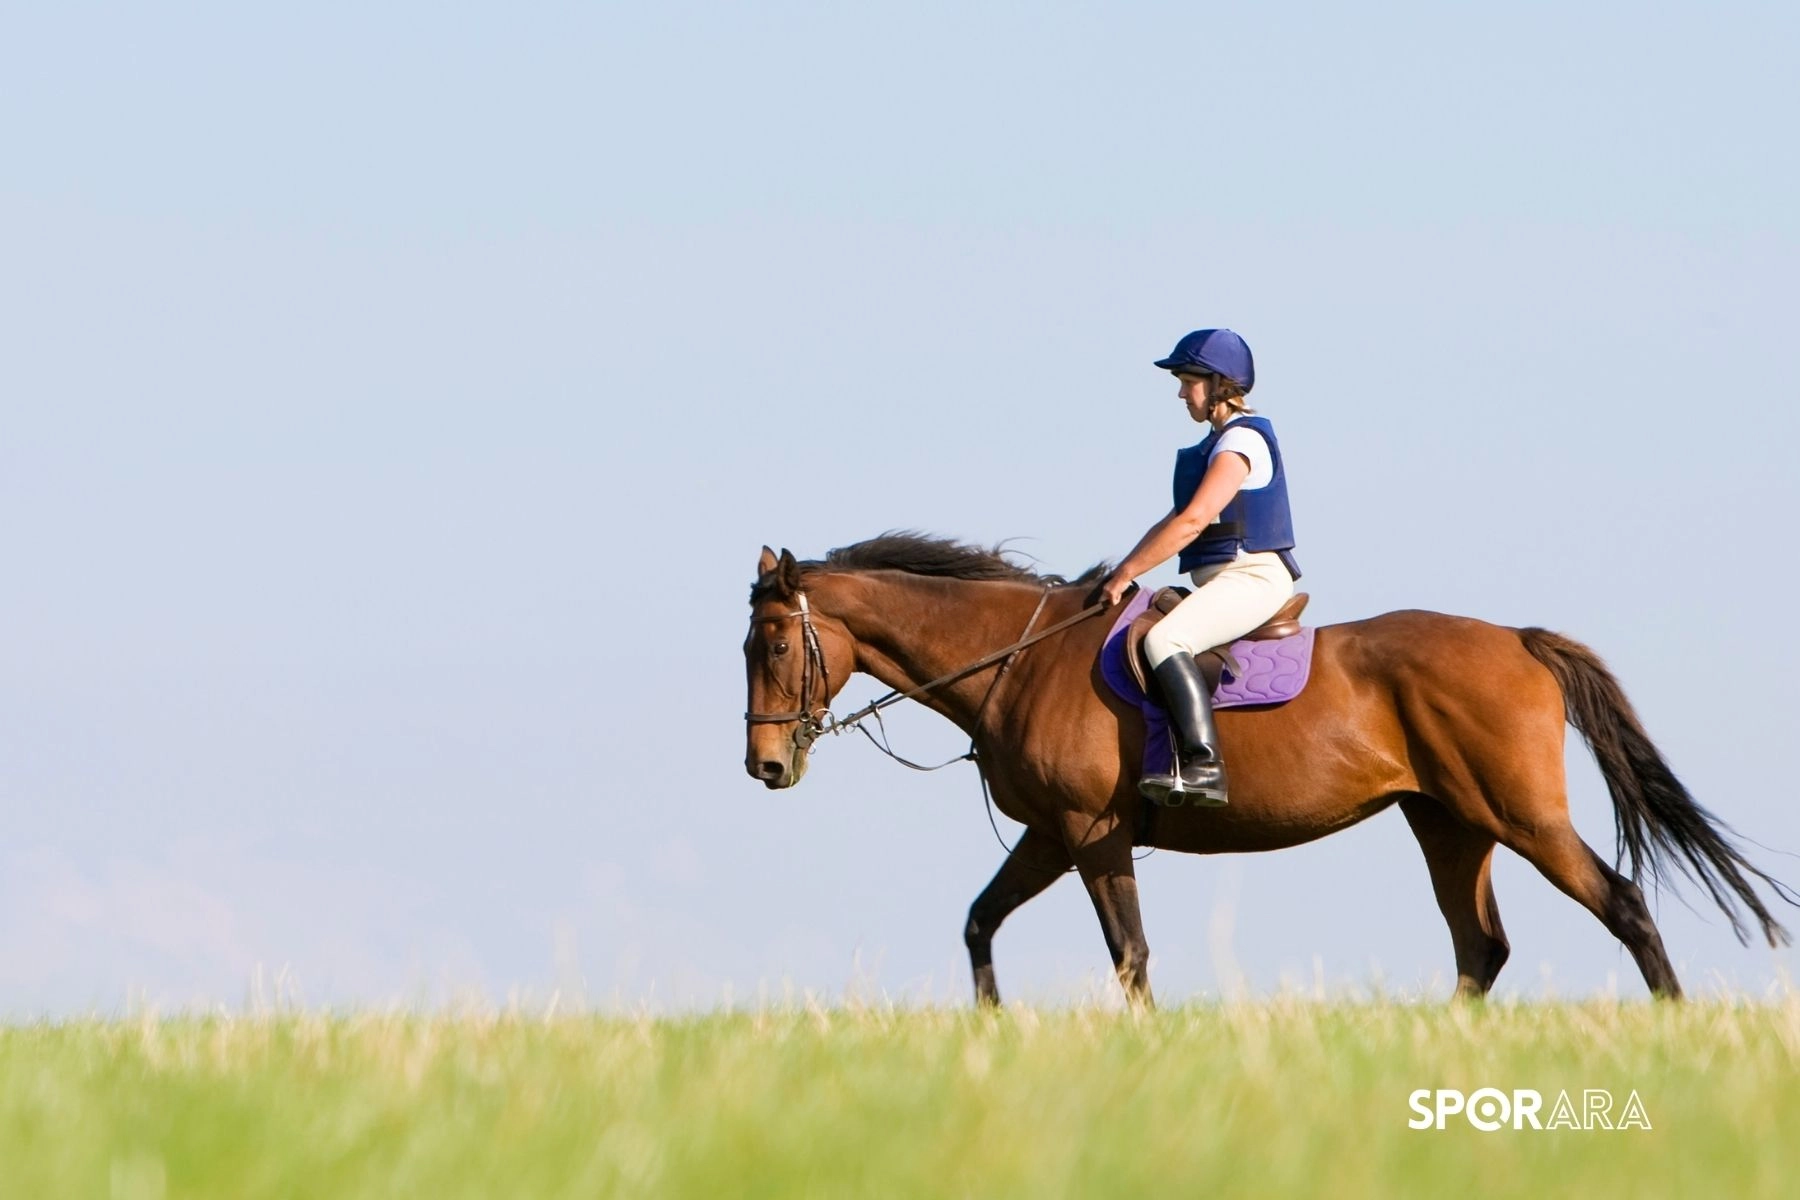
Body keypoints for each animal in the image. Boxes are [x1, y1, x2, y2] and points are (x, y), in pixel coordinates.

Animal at [741, 536, 1785, 1007]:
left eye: (775, 643)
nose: (764, 765)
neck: (1017, 658)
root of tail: (1517, 640)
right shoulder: (1050, 834)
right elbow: (979, 922)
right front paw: (992, 1033)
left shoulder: (1090, 833)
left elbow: (1129, 951)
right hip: (1449, 823)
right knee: (1480, 946)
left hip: (1521, 818)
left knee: (1623, 906)